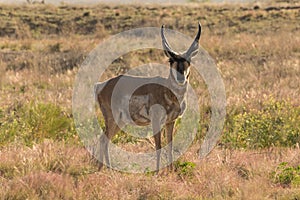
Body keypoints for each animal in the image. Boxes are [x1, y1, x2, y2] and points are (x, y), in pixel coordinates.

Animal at [94, 22, 202, 172]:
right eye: (170, 60)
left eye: (189, 60)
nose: (181, 77)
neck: (167, 91)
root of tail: (101, 85)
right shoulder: (156, 121)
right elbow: (158, 146)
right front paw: (157, 172)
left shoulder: (170, 122)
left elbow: (170, 146)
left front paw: (170, 171)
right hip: (113, 119)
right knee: (103, 139)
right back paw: (106, 169)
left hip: (120, 121)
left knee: (104, 139)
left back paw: (106, 169)